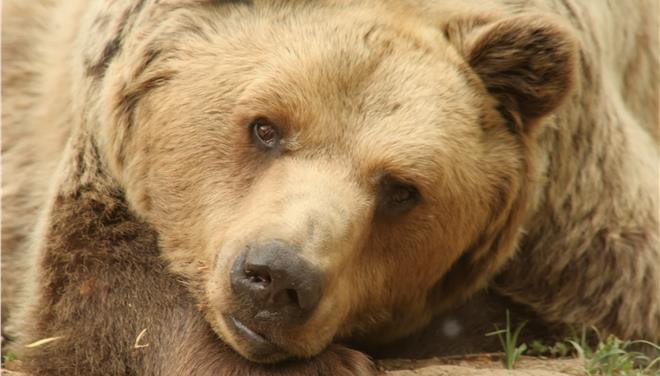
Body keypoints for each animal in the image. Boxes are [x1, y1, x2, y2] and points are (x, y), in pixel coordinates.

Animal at [2, 0, 656, 374]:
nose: (275, 277)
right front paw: (335, 364)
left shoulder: (576, 221)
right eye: (265, 127)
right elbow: (100, 295)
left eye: (401, 189)